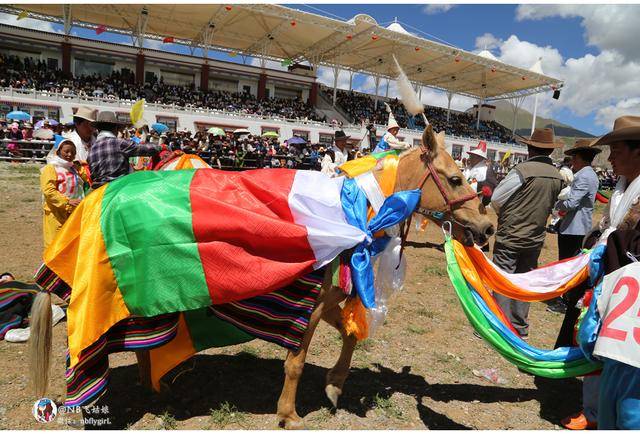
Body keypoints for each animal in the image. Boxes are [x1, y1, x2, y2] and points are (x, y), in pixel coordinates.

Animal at [30, 124, 496, 428]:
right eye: (456, 178)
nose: (488, 226)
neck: (352, 216)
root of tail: (100, 197)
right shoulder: (308, 309)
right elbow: (295, 363)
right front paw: (288, 414)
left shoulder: (327, 301)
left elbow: (349, 335)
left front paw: (334, 386)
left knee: (146, 347)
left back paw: (160, 387)